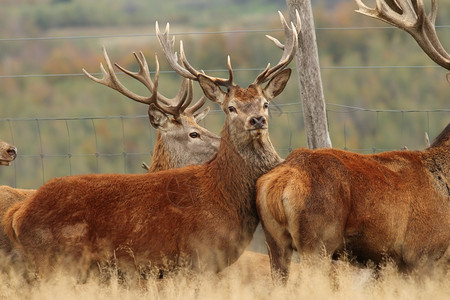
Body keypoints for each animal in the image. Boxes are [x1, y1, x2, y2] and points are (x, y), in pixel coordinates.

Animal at [3, 11, 300, 278]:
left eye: (265, 103)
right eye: (231, 108)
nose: (257, 120)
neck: (225, 194)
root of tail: (16, 216)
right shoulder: (197, 256)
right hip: (56, 262)